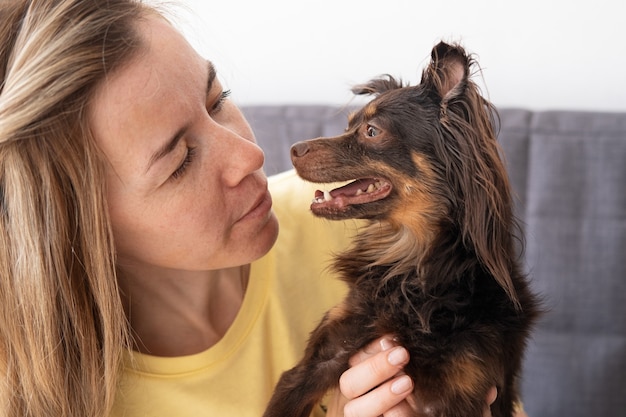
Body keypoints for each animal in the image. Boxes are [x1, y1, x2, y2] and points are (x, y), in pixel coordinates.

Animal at [260, 42, 540, 416]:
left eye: (371, 131)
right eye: (349, 125)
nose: (294, 149)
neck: (410, 267)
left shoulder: (459, 396)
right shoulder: (319, 359)